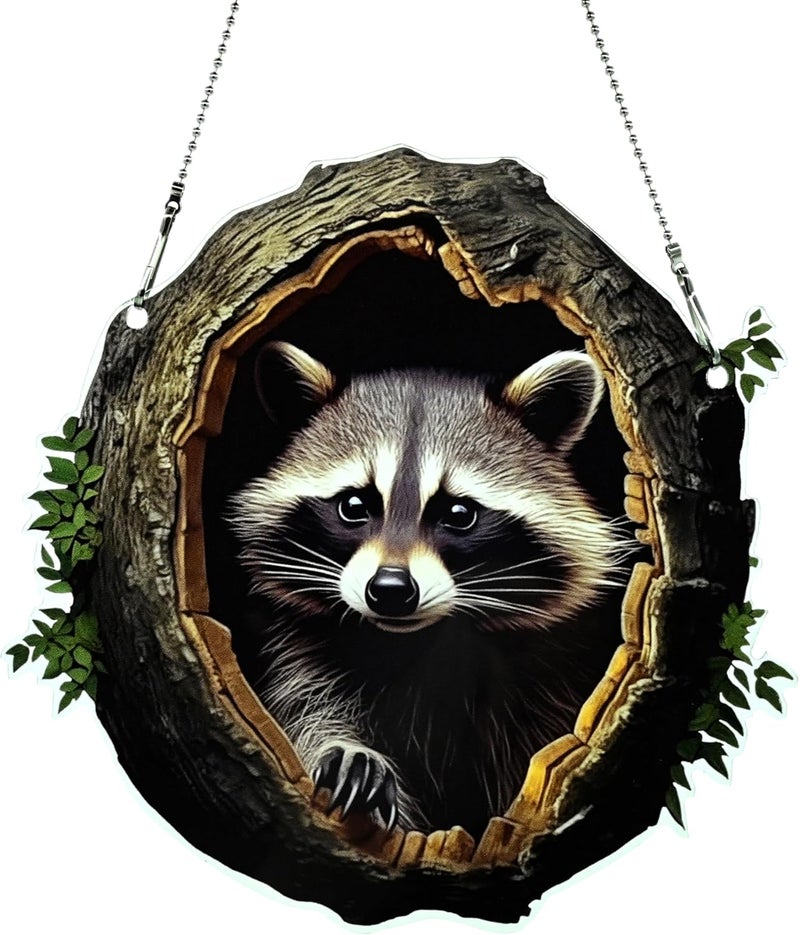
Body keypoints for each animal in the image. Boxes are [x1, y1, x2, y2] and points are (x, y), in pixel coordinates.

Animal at [228, 341, 627, 837]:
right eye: (354, 505)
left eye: (458, 513)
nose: (390, 589)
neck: (416, 640)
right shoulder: (294, 642)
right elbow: (304, 709)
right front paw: (346, 753)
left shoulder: (550, 668)